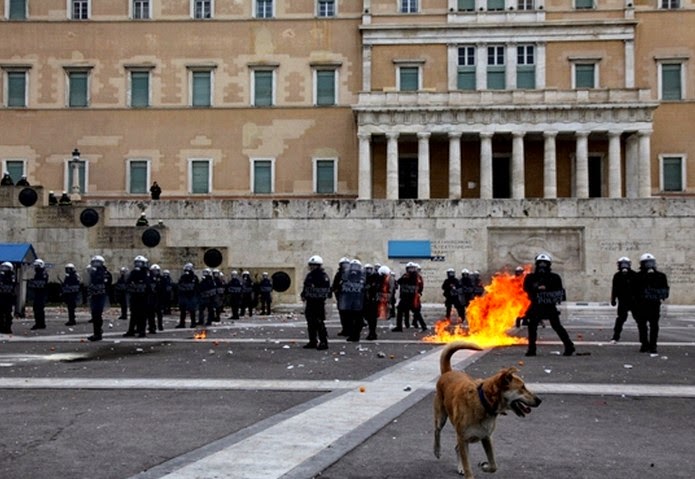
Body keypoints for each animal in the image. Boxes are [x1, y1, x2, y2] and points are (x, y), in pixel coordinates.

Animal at [436, 342, 544, 476]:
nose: (539, 400)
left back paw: (460, 467)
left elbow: (493, 465)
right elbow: (469, 469)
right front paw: (470, 469)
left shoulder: (486, 437)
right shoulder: (463, 438)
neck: (484, 402)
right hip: (441, 417)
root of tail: (448, 372)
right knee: (437, 431)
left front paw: (485, 466)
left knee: (456, 448)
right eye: (522, 387)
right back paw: (437, 450)